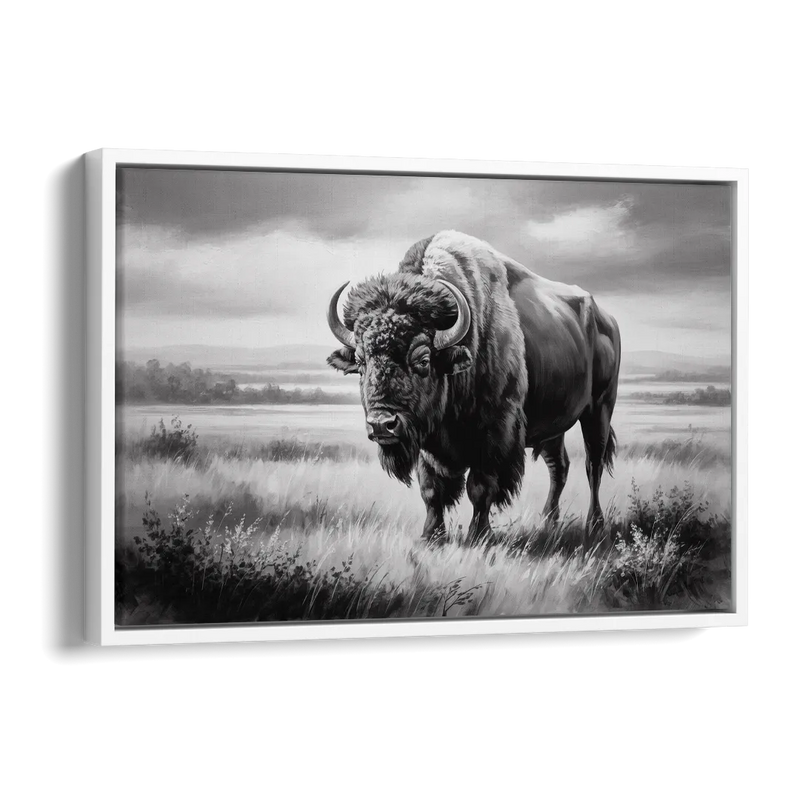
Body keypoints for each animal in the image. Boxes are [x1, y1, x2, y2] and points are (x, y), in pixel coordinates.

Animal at [327, 230, 621, 544]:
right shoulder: (427, 441)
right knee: (559, 466)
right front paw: (431, 536)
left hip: (599, 409)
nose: (382, 424)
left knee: (593, 464)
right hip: (555, 425)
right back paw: (549, 522)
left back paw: (595, 524)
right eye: (360, 362)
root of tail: (607, 320)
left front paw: (479, 536)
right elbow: (431, 490)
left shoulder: (495, 433)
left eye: (423, 360)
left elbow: (480, 488)